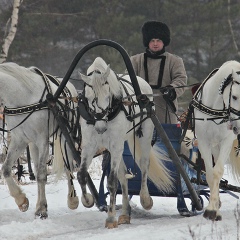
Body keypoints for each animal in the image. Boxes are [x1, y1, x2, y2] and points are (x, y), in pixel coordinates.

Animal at [0, 61, 79, 218]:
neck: (21, 96)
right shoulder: (20, 140)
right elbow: (5, 169)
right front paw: (22, 201)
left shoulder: (42, 139)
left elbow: (42, 174)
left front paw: (42, 210)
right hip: (33, 145)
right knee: (36, 170)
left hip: (64, 137)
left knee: (69, 166)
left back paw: (74, 199)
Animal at [79, 57, 174, 228]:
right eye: (88, 99)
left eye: (108, 96)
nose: (100, 128)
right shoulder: (89, 145)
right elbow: (82, 174)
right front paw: (87, 200)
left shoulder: (116, 145)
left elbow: (112, 181)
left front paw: (110, 218)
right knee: (123, 176)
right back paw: (124, 213)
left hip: (142, 136)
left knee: (144, 165)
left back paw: (145, 199)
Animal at [192, 59, 240, 220]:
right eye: (235, 97)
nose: (238, 126)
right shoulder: (205, 142)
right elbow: (210, 174)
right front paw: (214, 207)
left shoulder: (226, 141)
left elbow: (218, 171)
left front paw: (212, 210)